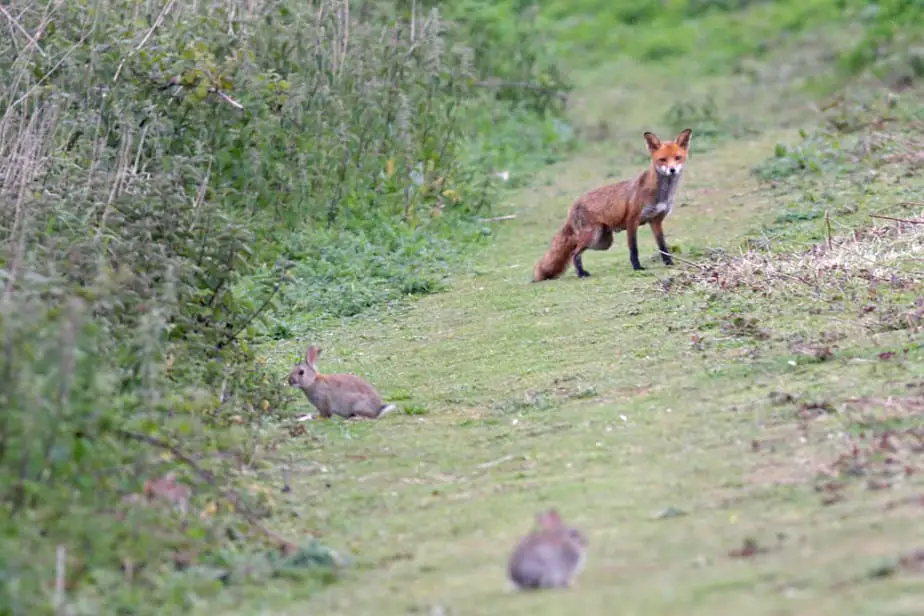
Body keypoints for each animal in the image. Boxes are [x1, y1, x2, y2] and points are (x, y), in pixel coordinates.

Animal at [532, 128, 688, 282]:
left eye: (677, 157)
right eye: (662, 159)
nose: (672, 170)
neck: (661, 192)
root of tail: (574, 205)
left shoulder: (656, 221)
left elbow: (663, 246)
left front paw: (669, 263)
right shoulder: (632, 221)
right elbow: (634, 249)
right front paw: (637, 268)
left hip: (603, 242)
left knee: (574, 251)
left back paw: (581, 272)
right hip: (592, 236)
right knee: (573, 253)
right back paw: (581, 274)